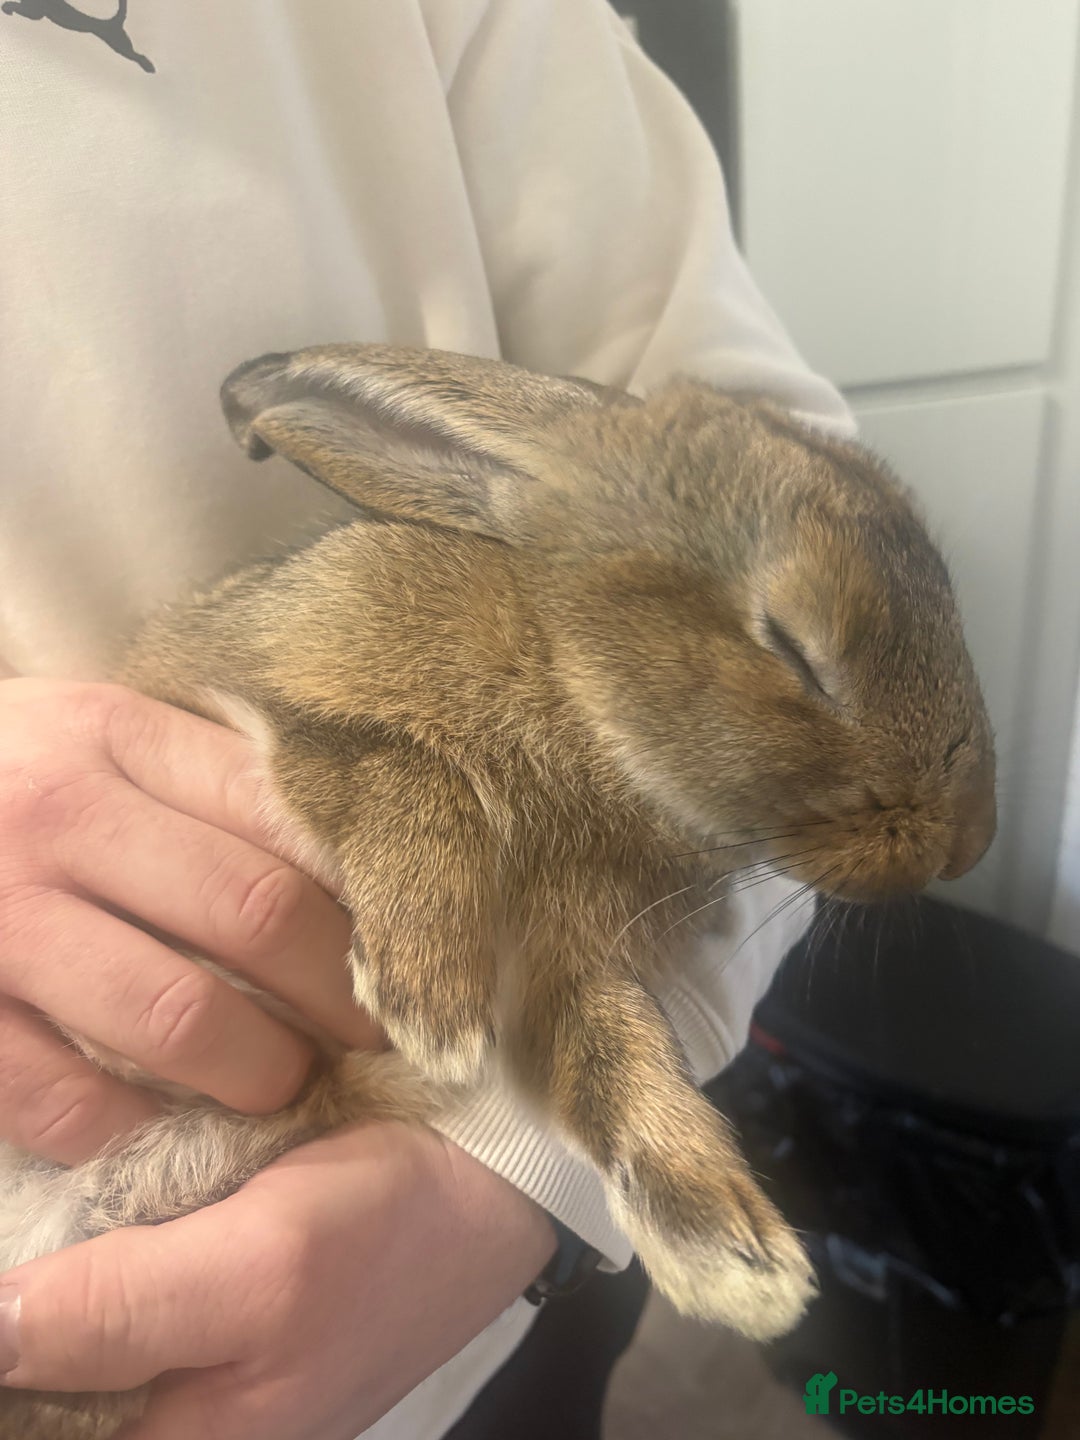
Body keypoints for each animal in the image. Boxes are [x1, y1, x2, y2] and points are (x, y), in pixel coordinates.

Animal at [0, 344, 996, 1440]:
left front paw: (738, 1264)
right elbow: (403, 770)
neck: (573, 680)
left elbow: (624, 1061)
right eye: (792, 643)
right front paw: (431, 1004)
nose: (973, 840)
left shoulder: (567, 971)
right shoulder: (259, 701)